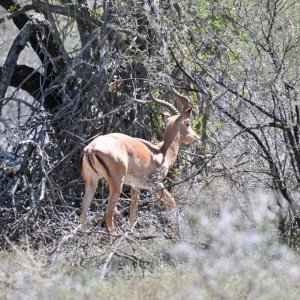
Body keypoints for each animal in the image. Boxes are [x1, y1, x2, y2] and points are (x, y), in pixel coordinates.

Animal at [81, 89, 200, 234]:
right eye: (187, 123)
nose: (197, 137)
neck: (162, 153)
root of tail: (91, 148)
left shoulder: (135, 186)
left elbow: (133, 216)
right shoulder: (155, 185)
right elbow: (173, 203)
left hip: (91, 181)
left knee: (83, 212)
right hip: (116, 184)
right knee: (108, 215)